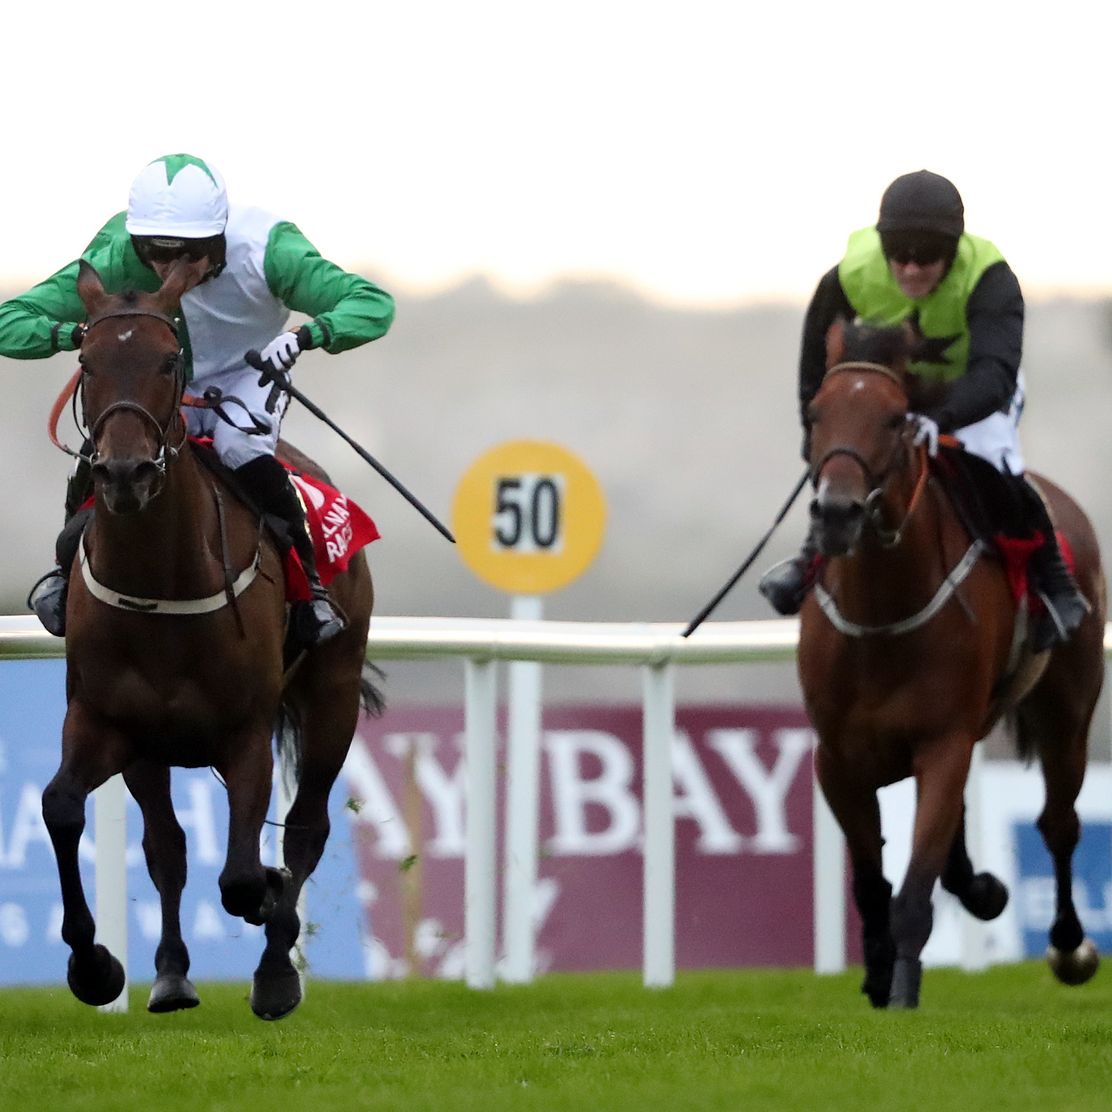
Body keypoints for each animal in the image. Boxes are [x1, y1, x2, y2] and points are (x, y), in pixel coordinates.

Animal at [40, 258, 383, 1020]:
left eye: (169, 361)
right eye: (85, 360)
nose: (125, 473)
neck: (162, 582)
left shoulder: (246, 731)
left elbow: (243, 874)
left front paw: (268, 907)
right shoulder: (105, 721)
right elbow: (63, 808)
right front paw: (94, 966)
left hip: (333, 694)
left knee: (306, 828)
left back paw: (277, 969)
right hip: (150, 749)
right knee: (167, 846)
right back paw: (171, 975)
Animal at [798, 317, 1105, 1009]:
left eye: (894, 419)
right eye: (817, 412)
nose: (837, 513)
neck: (882, 619)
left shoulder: (943, 740)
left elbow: (914, 889)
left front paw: (903, 991)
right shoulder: (836, 755)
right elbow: (872, 880)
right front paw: (877, 970)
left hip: (1067, 714)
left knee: (1059, 823)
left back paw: (1069, 944)